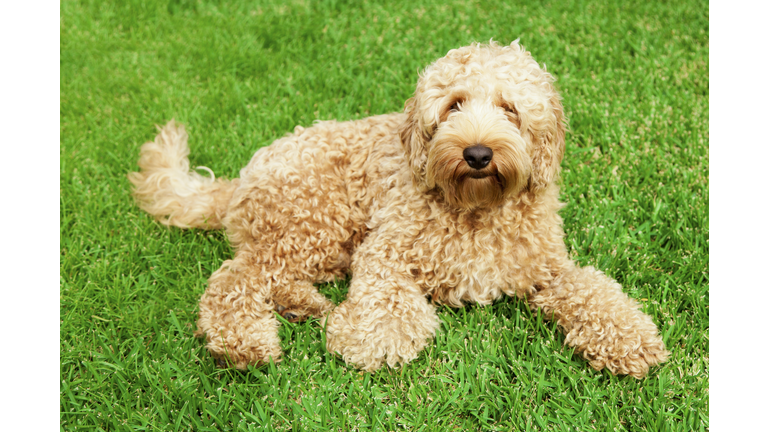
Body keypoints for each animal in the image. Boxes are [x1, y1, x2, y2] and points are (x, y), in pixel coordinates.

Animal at [130, 40, 664, 378]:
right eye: (453, 105)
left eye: (510, 108)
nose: (477, 153)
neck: (475, 209)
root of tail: (241, 178)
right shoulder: (385, 250)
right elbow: (385, 298)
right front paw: (375, 340)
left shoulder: (547, 269)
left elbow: (594, 291)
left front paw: (632, 340)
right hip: (315, 220)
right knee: (234, 280)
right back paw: (246, 345)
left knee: (267, 277)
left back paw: (306, 306)